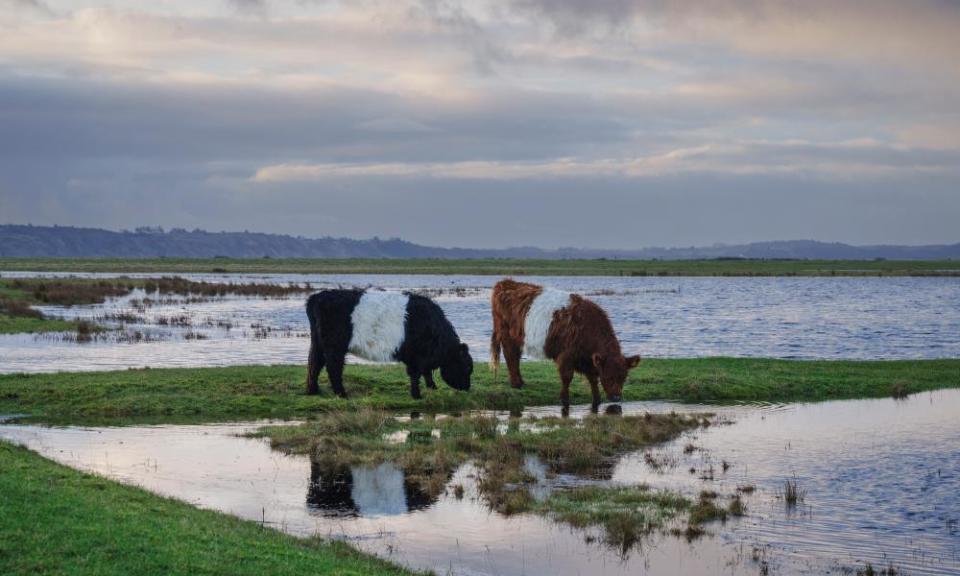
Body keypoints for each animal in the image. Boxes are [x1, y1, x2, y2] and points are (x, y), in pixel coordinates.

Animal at [306, 290, 474, 398]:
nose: (467, 387)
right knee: (333, 368)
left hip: (318, 343)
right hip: (334, 346)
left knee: (314, 363)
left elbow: (426, 373)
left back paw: (313, 390)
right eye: (467, 367)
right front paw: (417, 395)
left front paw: (432, 387)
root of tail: (317, 297)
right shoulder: (417, 356)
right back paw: (341, 394)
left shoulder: (423, 356)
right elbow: (416, 374)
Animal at [492, 278, 640, 404]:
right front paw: (564, 398)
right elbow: (567, 377)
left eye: (624, 377)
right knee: (511, 356)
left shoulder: (589, 359)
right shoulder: (567, 355)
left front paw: (597, 399)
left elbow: (593, 379)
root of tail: (506, 283)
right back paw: (516, 384)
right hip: (507, 335)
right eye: (608, 376)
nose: (616, 398)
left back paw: (520, 382)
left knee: (515, 358)